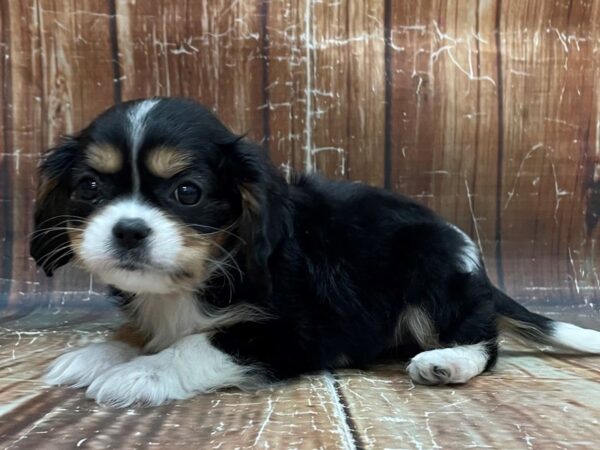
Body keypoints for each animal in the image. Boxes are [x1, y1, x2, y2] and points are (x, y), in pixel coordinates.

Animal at [31, 97, 600, 408]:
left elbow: (197, 344)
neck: (201, 273)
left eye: (187, 192)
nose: (127, 231)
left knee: (484, 342)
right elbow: (143, 332)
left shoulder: (291, 331)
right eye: (88, 187)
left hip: (430, 270)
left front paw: (140, 373)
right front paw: (102, 352)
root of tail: (474, 261)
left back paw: (446, 362)